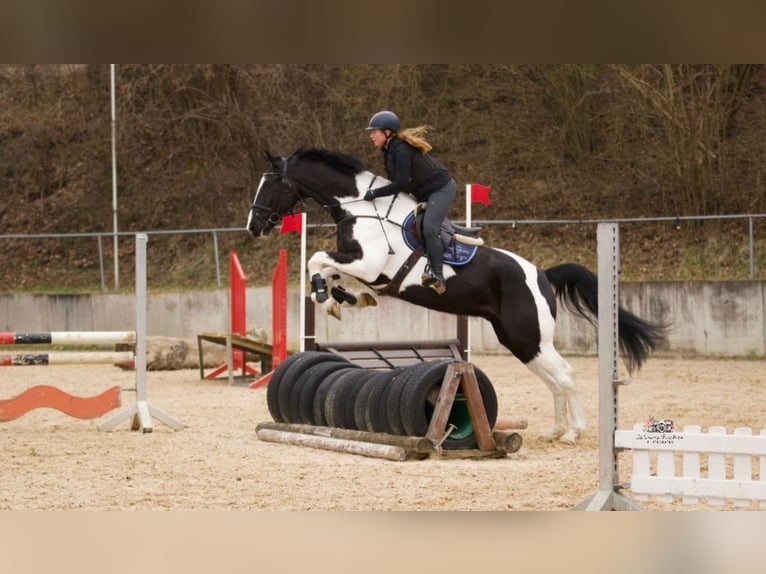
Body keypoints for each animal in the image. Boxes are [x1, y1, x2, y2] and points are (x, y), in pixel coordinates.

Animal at [246, 148, 666, 444]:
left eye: (270, 183)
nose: (254, 226)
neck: (362, 209)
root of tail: (543, 274)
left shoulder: (368, 263)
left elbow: (317, 259)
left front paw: (330, 295)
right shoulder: (363, 267)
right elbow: (326, 267)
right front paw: (342, 297)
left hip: (529, 336)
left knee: (564, 375)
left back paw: (573, 432)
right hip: (521, 341)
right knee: (552, 379)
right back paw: (556, 430)